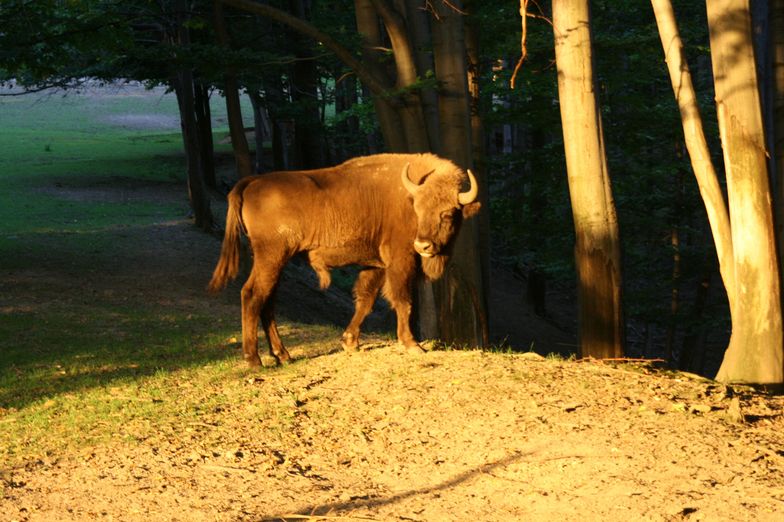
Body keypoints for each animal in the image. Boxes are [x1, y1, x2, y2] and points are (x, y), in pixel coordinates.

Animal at [207, 151, 478, 366]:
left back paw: (283, 355)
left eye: (447, 213)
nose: (423, 245)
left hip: (272, 261)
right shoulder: (400, 262)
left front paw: (350, 342)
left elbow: (365, 300)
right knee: (252, 295)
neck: (406, 198)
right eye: (418, 209)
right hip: (271, 257)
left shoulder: (375, 265)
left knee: (267, 301)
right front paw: (412, 344)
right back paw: (254, 360)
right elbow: (403, 301)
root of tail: (253, 181)